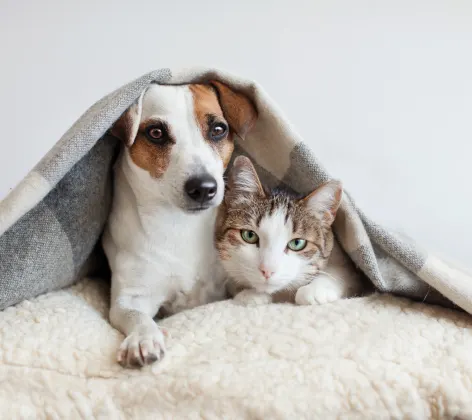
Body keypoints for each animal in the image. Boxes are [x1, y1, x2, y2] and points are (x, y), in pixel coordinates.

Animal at [103, 79, 258, 368]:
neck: (181, 225)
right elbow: (136, 316)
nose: (204, 188)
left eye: (218, 129)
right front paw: (143, 338)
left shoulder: (230, 280)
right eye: (156, 133)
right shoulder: (130, 298)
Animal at [215, 156, 366, 306]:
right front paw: (249, 294)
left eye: (297, 243)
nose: (267, 271)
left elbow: (341, 272)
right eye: (249, 235)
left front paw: (314, 290)